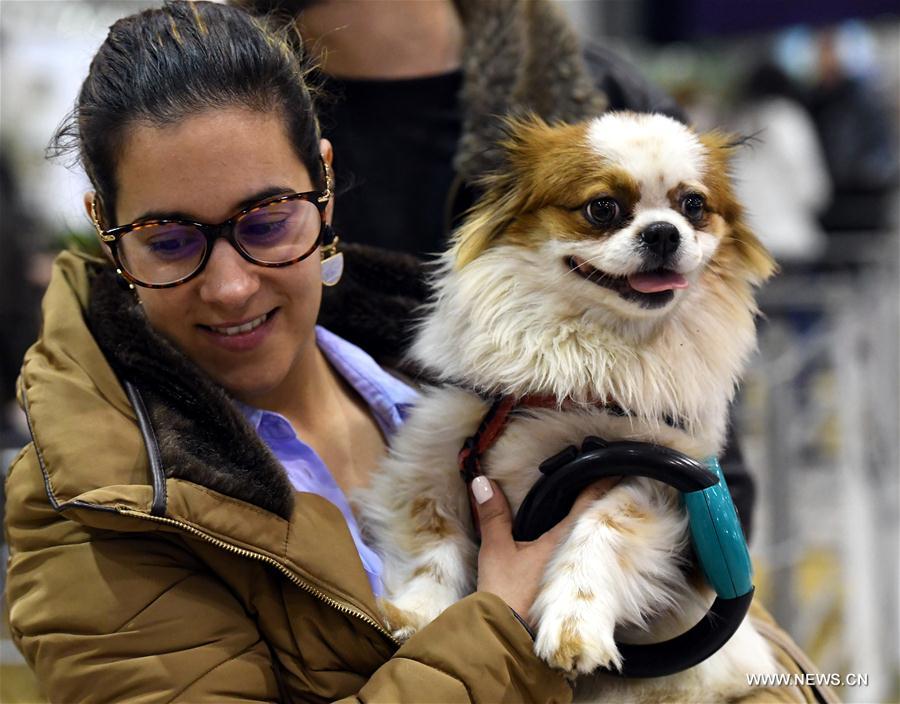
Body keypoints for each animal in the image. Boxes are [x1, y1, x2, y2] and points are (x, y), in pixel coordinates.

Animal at [358, 113, 780, 700]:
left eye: (694, 206)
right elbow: (434, 541)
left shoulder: (663, 481)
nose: (663, 231)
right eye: (602, 208)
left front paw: (574, 623)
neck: (583, 369)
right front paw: (421, 614)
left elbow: (603, 527)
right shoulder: (435, 459)